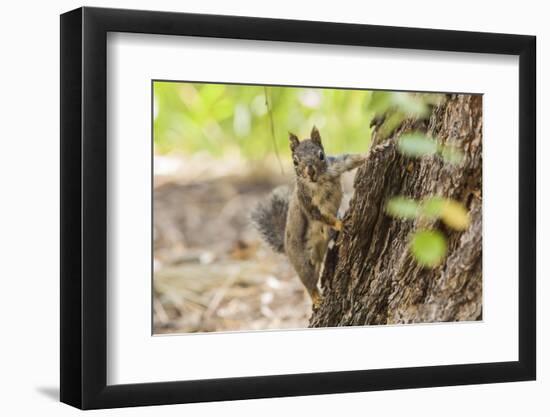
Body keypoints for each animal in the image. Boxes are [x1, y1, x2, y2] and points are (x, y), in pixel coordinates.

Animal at [252, 125, 368, 308]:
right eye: (295, 161)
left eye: (321, 155)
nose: (310, 171)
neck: (318, 181)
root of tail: (286, 247)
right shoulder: (307, 201)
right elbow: (321, 215)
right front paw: (340, 224)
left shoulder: (335, 164)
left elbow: (350, 159)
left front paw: (373, 151)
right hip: (302, 262)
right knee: (308, 282)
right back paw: (316, 298)